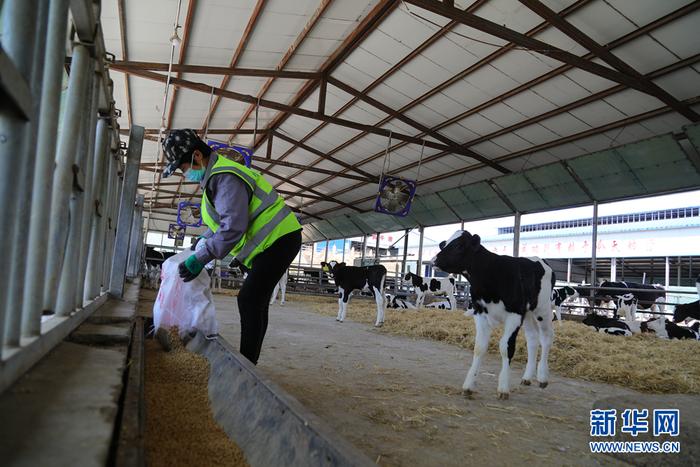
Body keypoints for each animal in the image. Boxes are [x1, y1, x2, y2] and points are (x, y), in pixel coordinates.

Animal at [432, 230, 552, 398]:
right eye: (444, 244)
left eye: (459, 245)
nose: (433, 260)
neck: (491, 275)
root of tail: (539, 259)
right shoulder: (480, 312)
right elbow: (479, 347)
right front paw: (469, 385)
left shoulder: (514, 315)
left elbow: (506, 348)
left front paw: (503, 388)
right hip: (527, 313)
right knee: (533, 339)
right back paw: (527, 377)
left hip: (543, 309)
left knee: (546, 338)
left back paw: (542, 377)